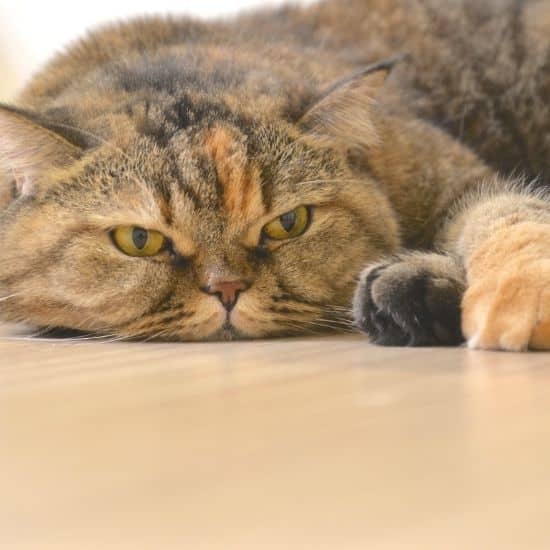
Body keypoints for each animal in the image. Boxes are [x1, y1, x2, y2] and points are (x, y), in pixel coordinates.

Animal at [1, 0, 550, 352]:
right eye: (139, 240)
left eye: (289, 223)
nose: (226, 290)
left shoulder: (461, 179)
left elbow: (510, 217)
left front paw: (519, 295)